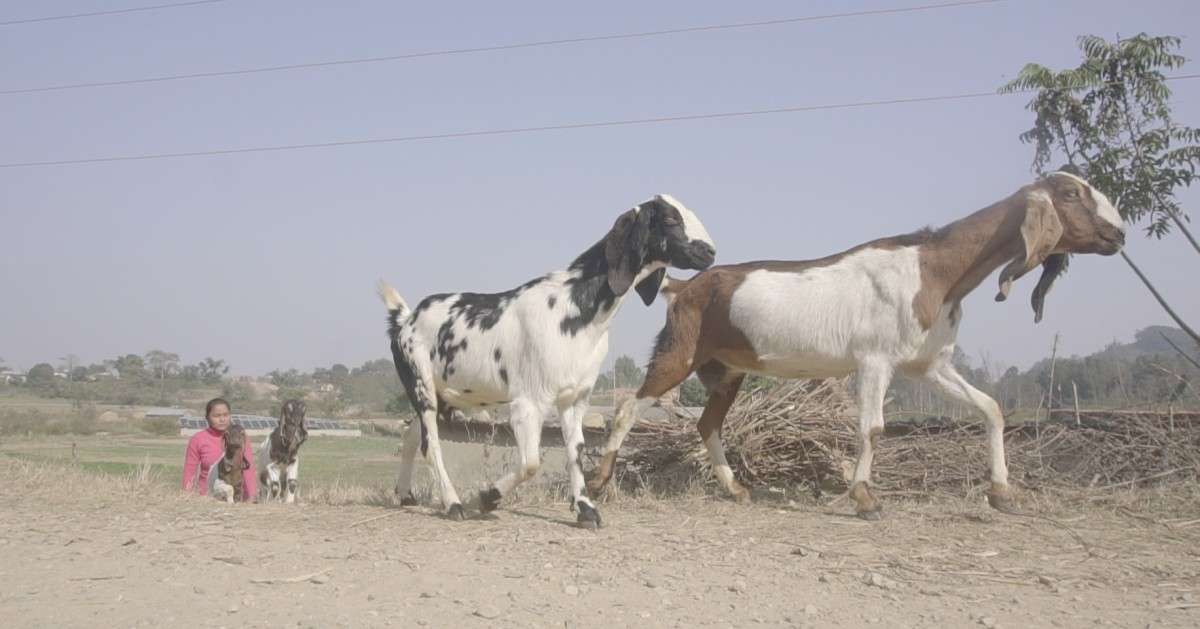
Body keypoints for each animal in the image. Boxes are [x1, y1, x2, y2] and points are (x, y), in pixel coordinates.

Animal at [376, 195, 710, 525]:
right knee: (430, 443)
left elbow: (575, 451)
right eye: (670, 219)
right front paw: (487, 497)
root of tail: (405, 319)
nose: (710, 251)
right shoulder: (529, 402)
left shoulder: (575, 399)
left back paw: (405, 494)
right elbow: (531, 463)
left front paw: (586, 509)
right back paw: (453, 503)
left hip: (445, 395)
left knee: (411, 435)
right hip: (422, 386)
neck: (574, 304)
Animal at [590, 169, 1123, 518]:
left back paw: (735, 489)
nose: (1118, 233)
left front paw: (1002, 493)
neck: (933, 268)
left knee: (707, 424)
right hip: (679, 353)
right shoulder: (875, 360)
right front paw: (865, 498)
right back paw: (600, 482)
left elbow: (991, 408)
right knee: (628, 407)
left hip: (727, 371)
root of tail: (683, 288)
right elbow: (873, 429)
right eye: (1072, 193)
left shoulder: (930, 365)